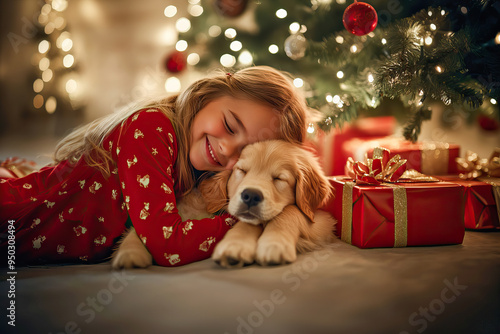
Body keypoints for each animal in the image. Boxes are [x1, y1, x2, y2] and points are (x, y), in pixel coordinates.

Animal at [200, 139, 336, 268]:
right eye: (242, 170)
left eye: (278, 178)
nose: (251, 196)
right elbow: (246, 223)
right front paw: (234, 244)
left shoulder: (323, 221)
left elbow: (290, 210)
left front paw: (274, 243)